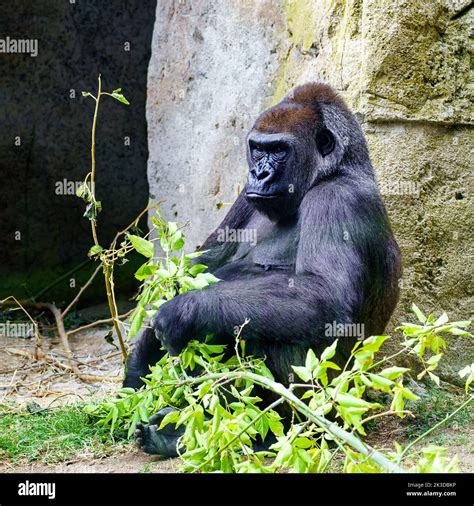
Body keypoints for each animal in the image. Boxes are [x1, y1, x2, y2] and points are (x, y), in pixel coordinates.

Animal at [122, 82, 400, 454]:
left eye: (279, 150)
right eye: (257, 149)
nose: (259, 174)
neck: (334, 170)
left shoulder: (339, 199)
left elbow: (323, 297)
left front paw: (184, 312)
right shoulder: (244, 196)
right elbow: (199, 267)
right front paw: (138, 367)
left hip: (334, 407)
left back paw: (268, 432)